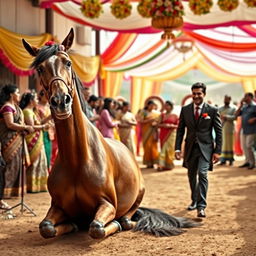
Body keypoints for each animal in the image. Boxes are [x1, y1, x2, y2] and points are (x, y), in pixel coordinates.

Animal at [22, 29, 199, 239]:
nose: (60, 101)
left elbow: (97, 227)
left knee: (128, 219)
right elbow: (46, 227)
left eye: (68, 62)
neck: (77, 160)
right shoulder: (57, 206)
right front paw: (72, 224)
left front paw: (110, 224)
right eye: (40, 69)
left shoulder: (107, 204)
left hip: (139, 193)